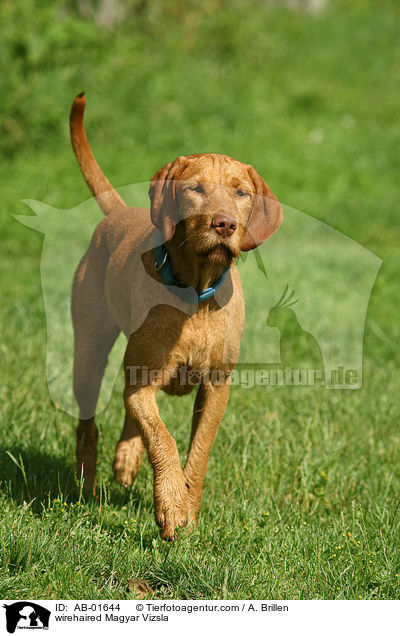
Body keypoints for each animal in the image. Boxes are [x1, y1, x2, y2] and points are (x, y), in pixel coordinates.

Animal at [69, 92, 282, 540]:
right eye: (194, 189)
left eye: (241, 193)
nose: (225, 224)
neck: (195, 299)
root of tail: (118, 213)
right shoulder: (146, 378)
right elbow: (162, 437)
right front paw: (170, 504)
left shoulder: (216, 387)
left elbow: (197, 453)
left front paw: (186, 509)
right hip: (89, 353)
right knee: (89, 422)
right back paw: (87, 483)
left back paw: (127, 457)